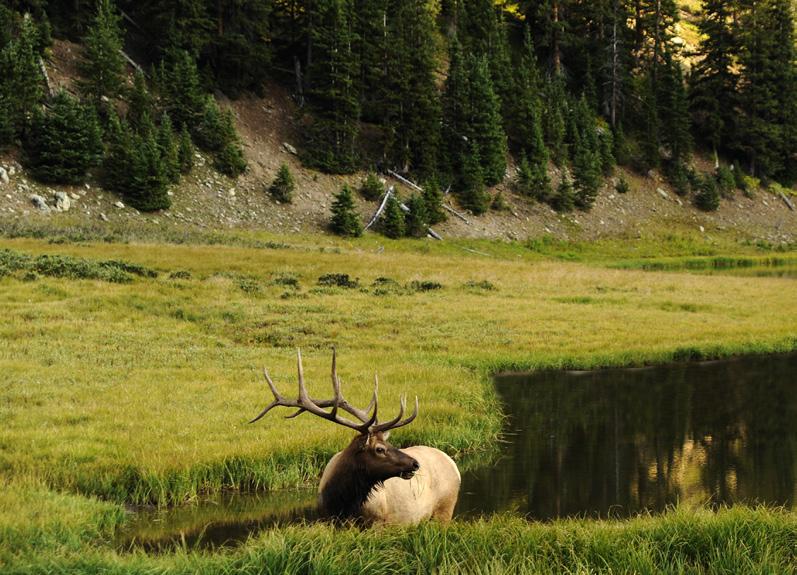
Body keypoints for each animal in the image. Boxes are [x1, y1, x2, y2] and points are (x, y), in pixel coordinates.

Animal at [249, 348, 460, 524]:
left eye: (389, 442)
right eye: (380, 448)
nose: (415, 463)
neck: (342, 504)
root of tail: (453, 464)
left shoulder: (379, 523)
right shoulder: (328, 521)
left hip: (445, 508)